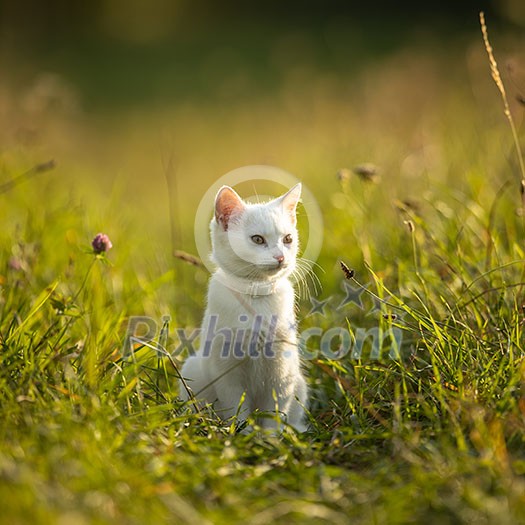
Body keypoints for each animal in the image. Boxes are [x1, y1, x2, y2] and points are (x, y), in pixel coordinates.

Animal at [180, 182, 308, 432]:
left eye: (288, 239)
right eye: (257, 239)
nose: (280, 257)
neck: (256, 295)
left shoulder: (282, 370)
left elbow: (275, 410)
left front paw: (271, 437)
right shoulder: (226, 372)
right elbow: (236, 408)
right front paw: (242, 434)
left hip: (298, 381)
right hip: (193, 369)